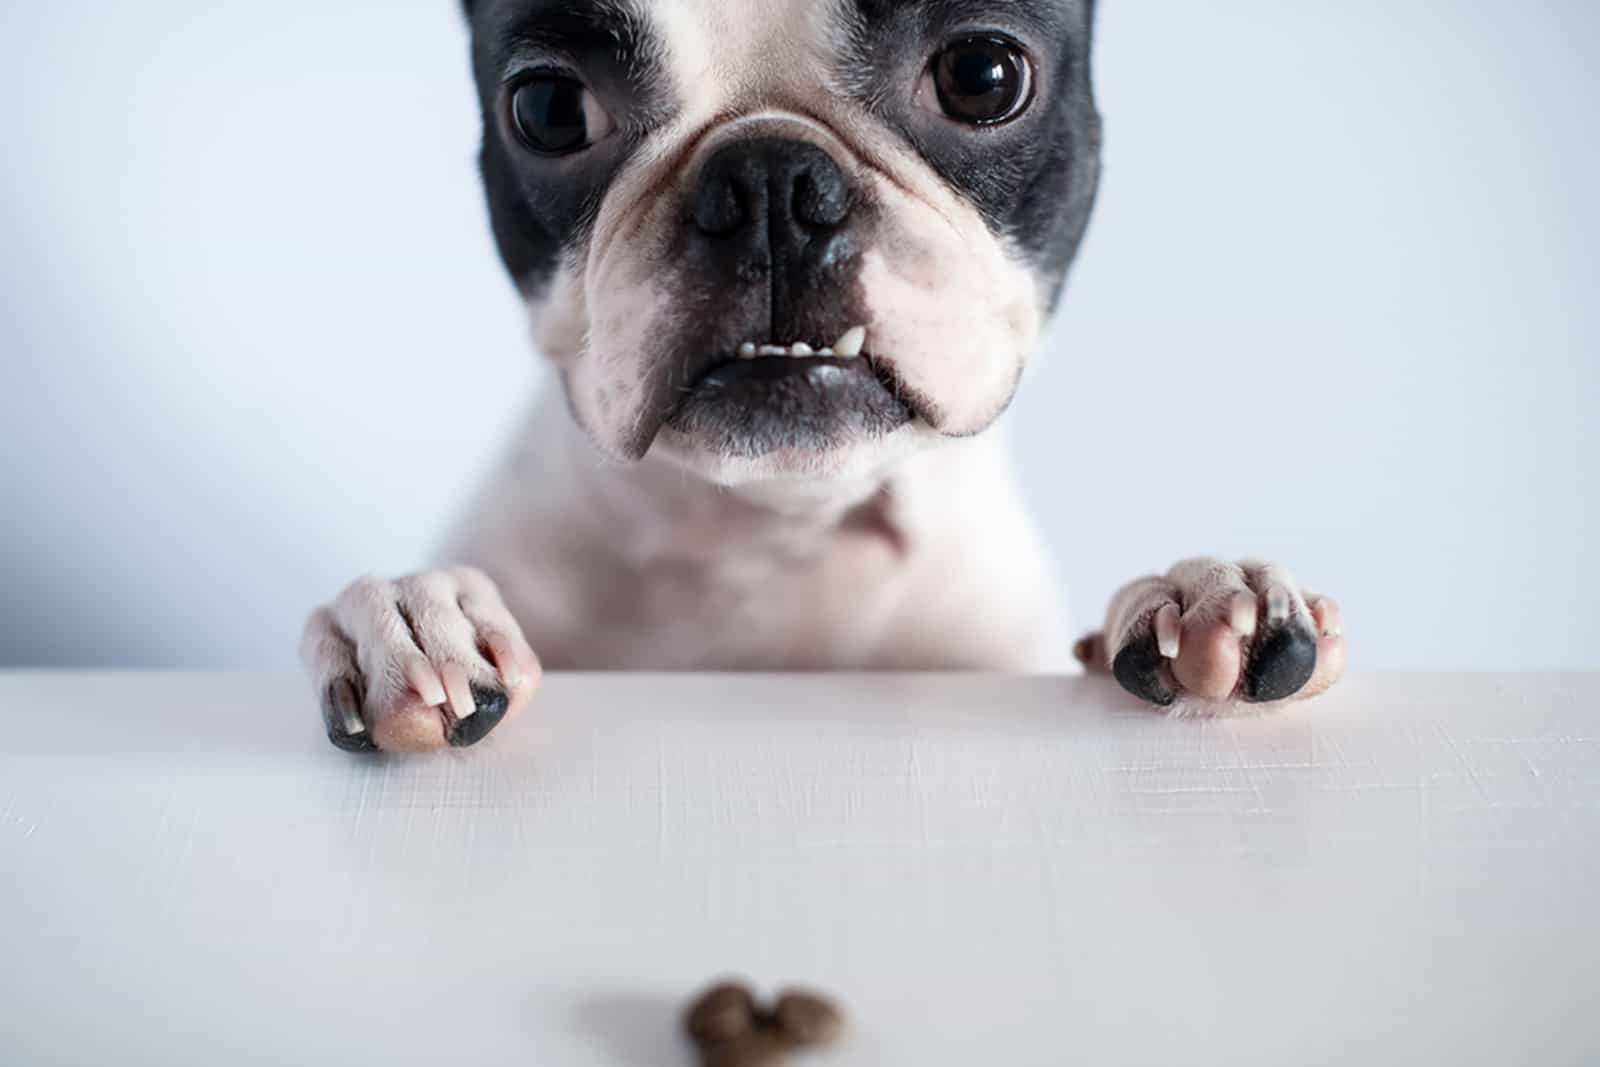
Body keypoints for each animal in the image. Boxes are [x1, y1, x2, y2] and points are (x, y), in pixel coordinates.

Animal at [297, 0, 1337, 755]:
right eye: (549, 108)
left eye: (982, 76)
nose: (768, 182)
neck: (780, 532)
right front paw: (408, 619)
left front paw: (1195, 598)